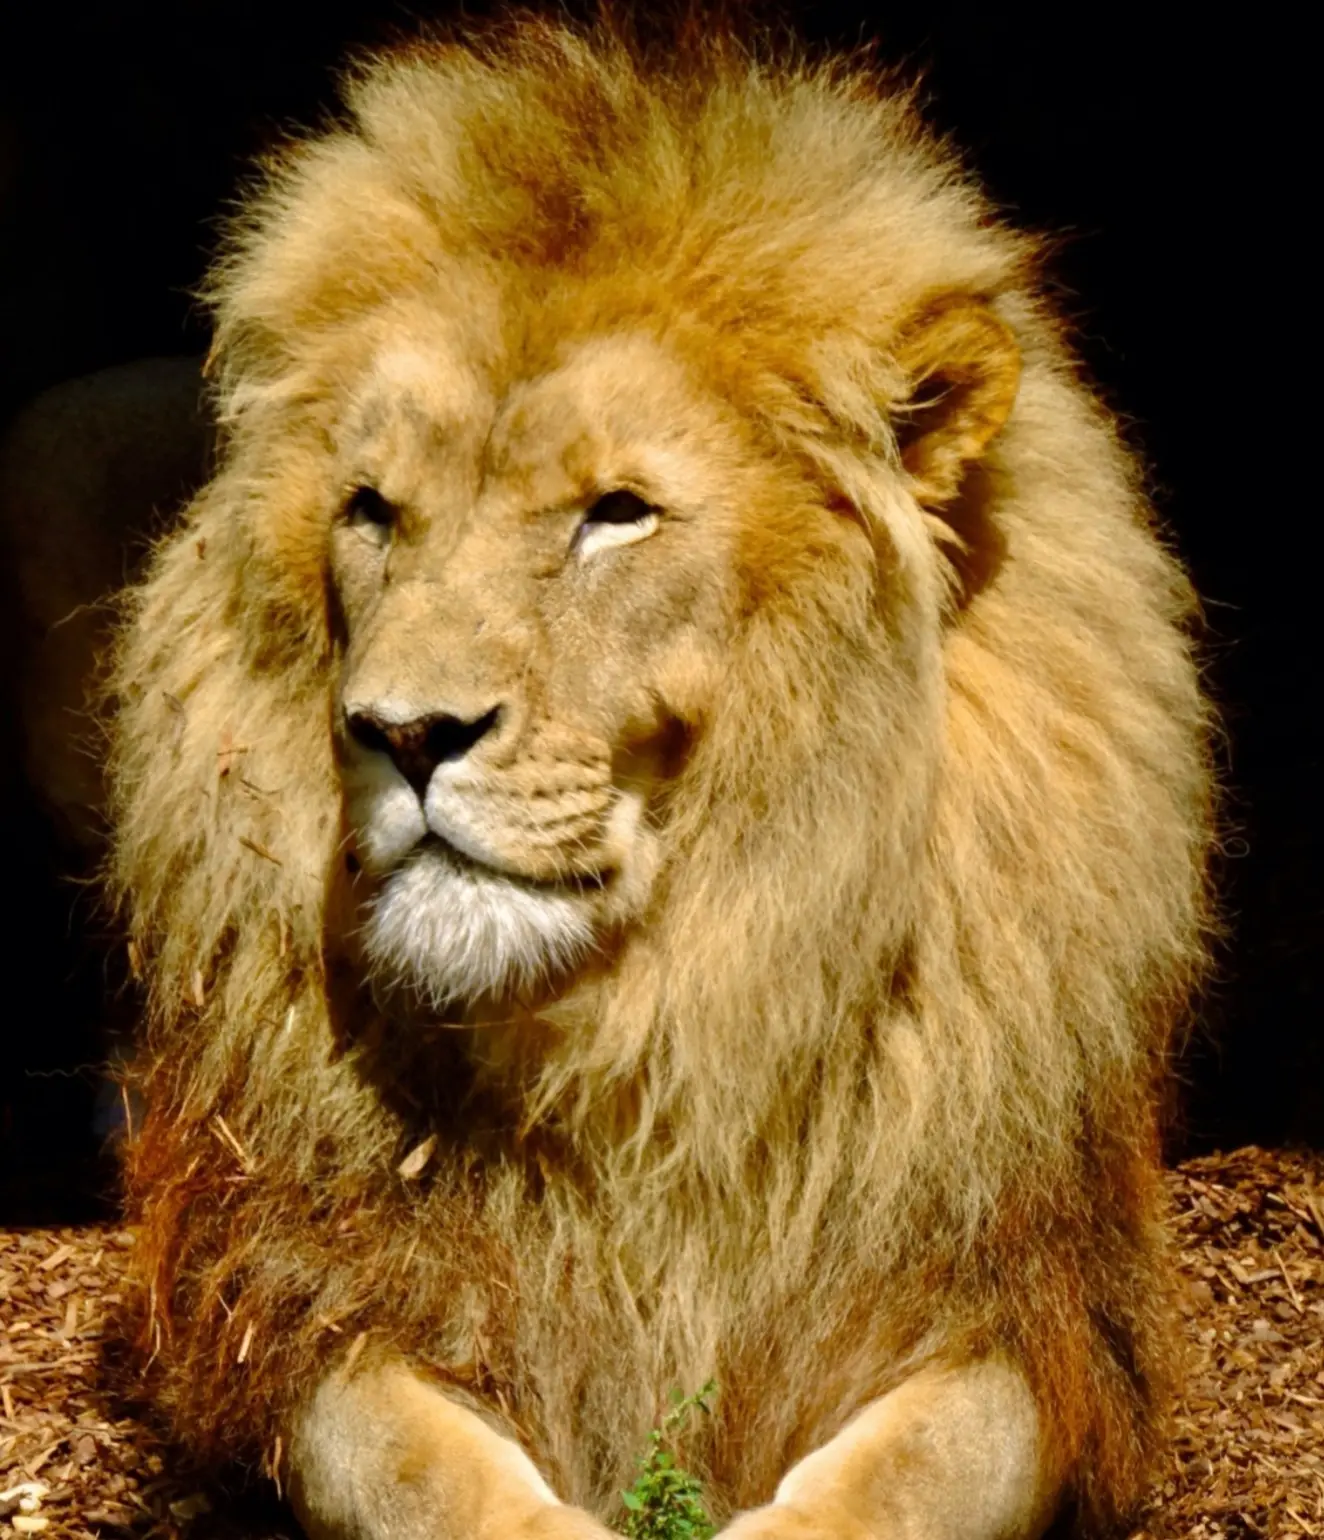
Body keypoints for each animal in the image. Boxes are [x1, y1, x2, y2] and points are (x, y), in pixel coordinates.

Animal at [106, 16, 1211, 1540]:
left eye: (615, 514)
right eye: (372, 511)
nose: (402, 731)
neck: (667, 1029)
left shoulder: (1028, 1304)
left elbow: (918, 1470)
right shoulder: (294, 1299)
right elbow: (411, 1467)